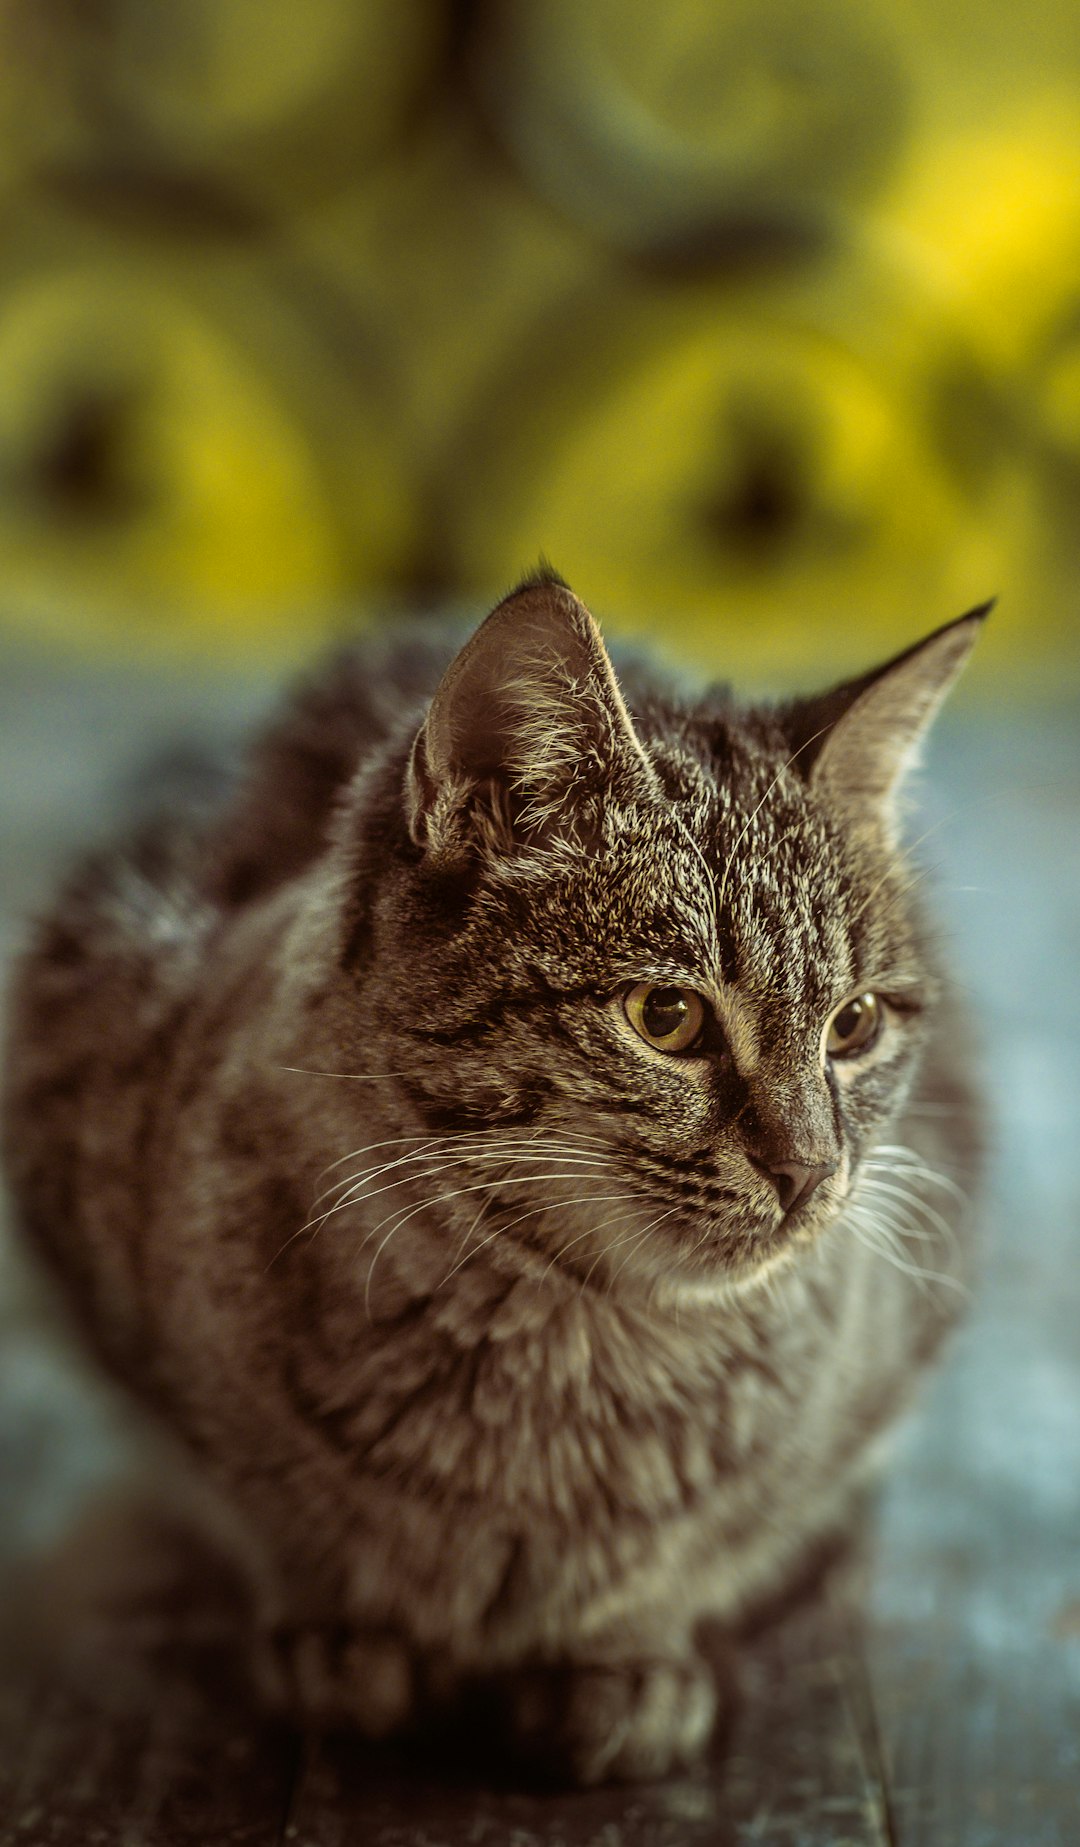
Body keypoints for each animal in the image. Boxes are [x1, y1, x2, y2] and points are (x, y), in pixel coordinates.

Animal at [4, 572, 982, 1773]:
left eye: (854, 1025)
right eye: (666, 1015)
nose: (810, 1172)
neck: (568, 1346)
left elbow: (706, 1545)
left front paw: (627, 1650)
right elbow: (257, 1503)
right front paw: (338, 1624)